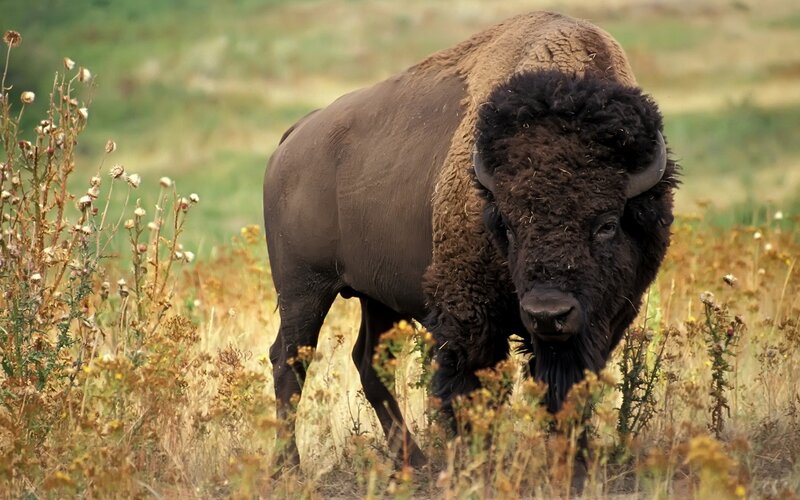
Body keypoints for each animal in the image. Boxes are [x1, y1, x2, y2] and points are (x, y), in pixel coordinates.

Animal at [263, 11, 678, 466]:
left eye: (606, 223)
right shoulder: (468, 315)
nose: (548, 313)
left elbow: (567, 390)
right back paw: (289, 466)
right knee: (289, 361)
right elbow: (468, 389)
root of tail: (295, 136)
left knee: (368, 362)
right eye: (508, 225)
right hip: (303, 289)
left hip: (376, 297)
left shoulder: (603, 320)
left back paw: (414, 461)